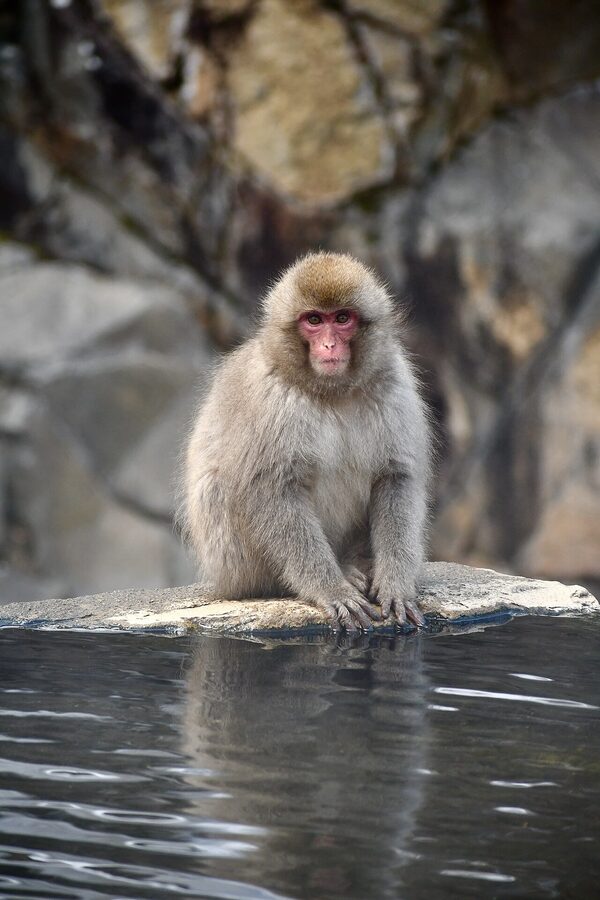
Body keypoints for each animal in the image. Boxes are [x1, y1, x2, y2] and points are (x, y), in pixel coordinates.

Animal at [180, 252, 431, 631]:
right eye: (313, 320)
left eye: (341, 318)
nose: (328, 345)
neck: (332, 392)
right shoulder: (269, 396)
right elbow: (270, 490)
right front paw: (331, 589)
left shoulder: (394, 381)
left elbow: (395, 477)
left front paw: (395, 583)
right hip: (231, 565)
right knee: (217, 487)